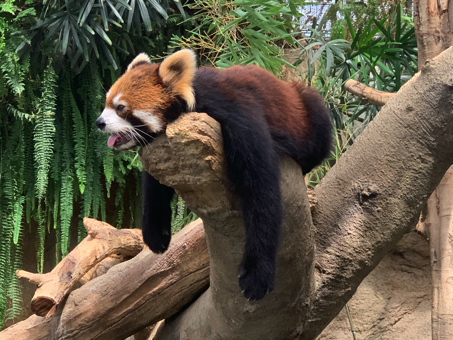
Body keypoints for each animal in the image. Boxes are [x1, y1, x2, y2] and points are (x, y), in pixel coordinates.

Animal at [96, 49, 332, 298]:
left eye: (121, 108)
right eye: (107, 103)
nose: (99, 122)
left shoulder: (238, 116)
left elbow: (261, 192)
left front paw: (257, 274)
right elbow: (154, 187)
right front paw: (155, 234)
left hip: (308, 110)